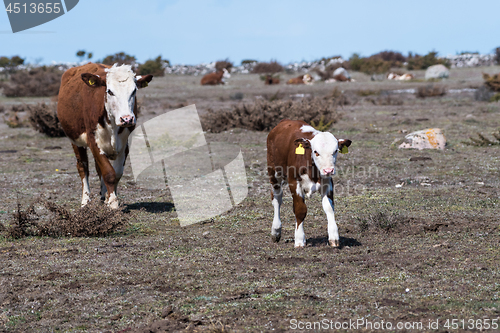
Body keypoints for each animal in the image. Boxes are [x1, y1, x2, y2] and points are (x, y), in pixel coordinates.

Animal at [57, 62, 152, 208]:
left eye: (134, 91)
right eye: (110, 91)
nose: (127, 119)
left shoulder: (125, 143)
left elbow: (116, 173)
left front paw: (109, 198)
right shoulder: (93, 140)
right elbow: (108, 172)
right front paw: (113, 203)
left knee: (97, 168)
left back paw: (102, 196)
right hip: (75, 140)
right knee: (83, 167)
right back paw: (85, 200)